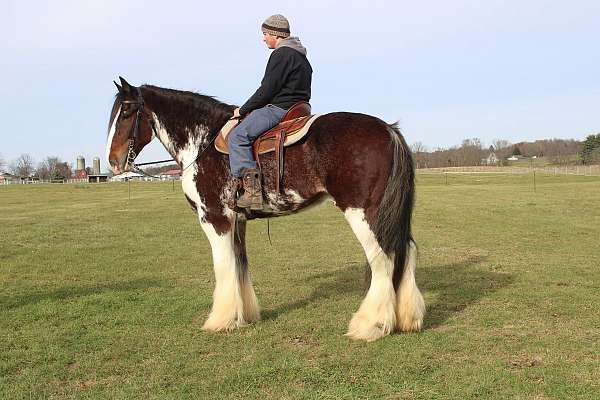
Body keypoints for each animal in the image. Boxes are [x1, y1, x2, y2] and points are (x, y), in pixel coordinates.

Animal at [105, 77, 424, 340]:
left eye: (126, 112)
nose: (113, 162)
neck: (203, 142)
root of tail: (387, 129)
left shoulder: (215, 219)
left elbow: (223, 266)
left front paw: (221, 320)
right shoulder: (237, 222)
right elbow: (239, 265)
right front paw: (244, 316)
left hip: (362, 213)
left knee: (383, 259)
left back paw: (371, 325)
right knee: (406, 251)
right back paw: (407, 319)